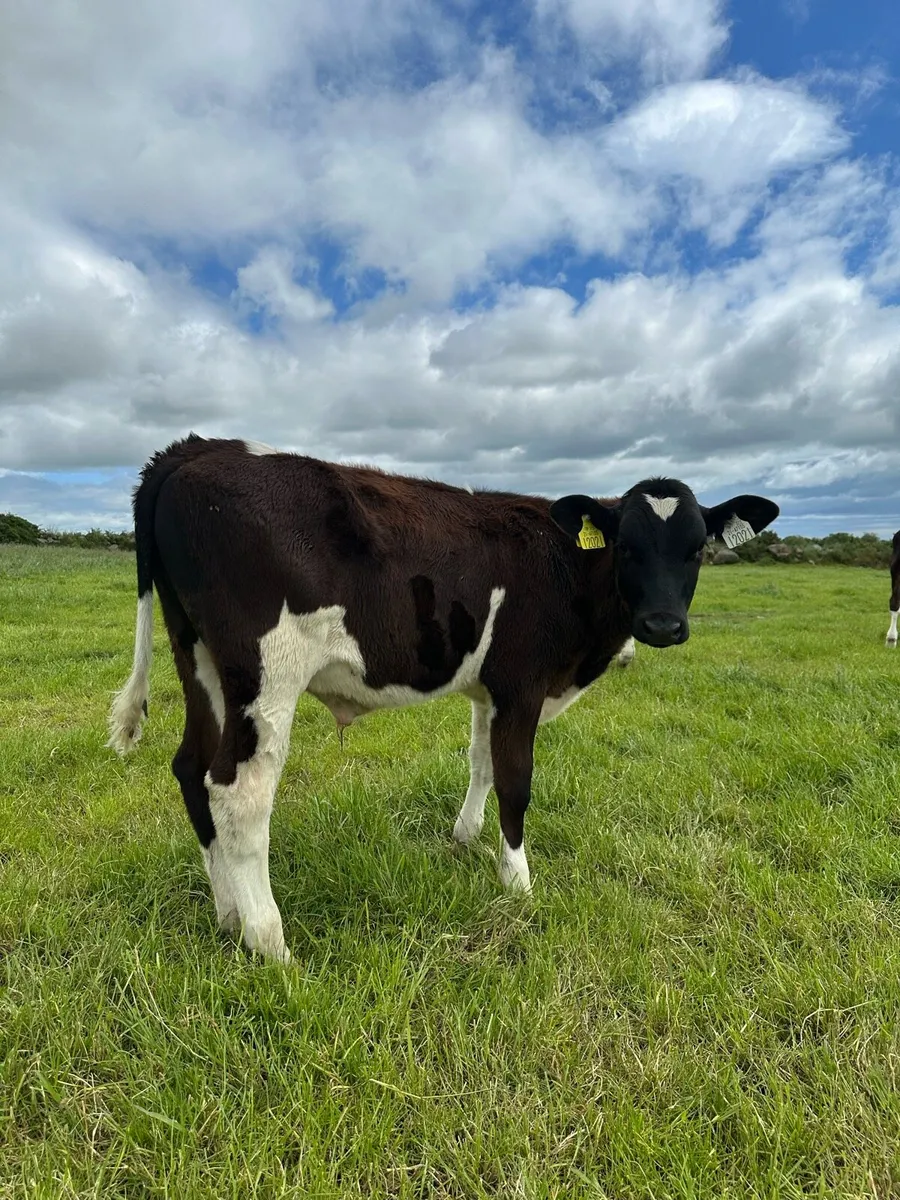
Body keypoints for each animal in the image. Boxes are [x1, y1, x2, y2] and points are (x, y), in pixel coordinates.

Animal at [108, 436, 778, 962]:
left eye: (696, 548)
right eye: (628, 546)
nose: (663, 624)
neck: (564, 566)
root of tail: (195, 449)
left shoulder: (488, 690)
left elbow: (481, 764)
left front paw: (465, 838)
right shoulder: (521, 685)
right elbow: (515, 780)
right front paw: (518, 883)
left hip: (201, 661)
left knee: (191, 768)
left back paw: (227, 915)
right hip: (266, 674)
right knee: (239, 792)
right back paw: (269, 943)